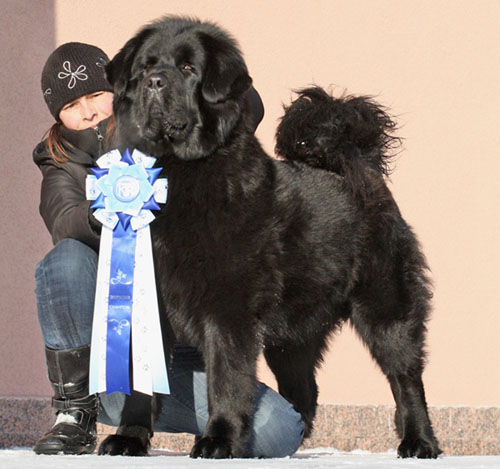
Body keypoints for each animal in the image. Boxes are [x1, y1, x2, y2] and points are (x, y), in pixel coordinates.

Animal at [98, 16, 442, 458]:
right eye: (145, 67)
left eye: (189, 69)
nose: (155, 82)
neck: (176, 172)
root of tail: (360, 167)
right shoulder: (143, 300)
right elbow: (140, 383)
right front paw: (130, 437)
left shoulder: (228, 306)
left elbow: (225, 379)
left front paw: (219, 439)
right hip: (294, 335)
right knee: (304, 392)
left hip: (385, 308)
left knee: (406, 378)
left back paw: (419, 441)